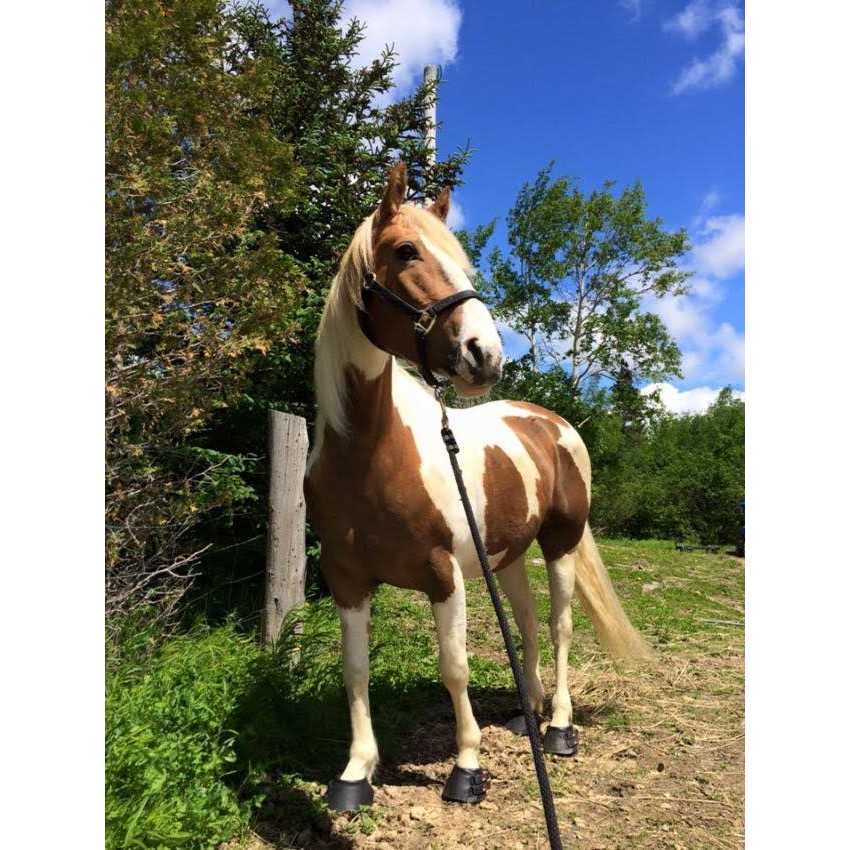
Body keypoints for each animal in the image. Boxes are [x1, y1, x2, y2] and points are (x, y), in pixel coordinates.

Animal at [304, 162, 652, 812]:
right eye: (406, 250)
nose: (483, 354)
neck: (372, 454)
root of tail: (554, 424)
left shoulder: (443, 575)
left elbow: (455, 667)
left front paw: (467, 767)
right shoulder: (346, 578)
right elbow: (355, 670)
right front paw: (356, 771)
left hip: (560, 546)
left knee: (560, 626)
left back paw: (559, 727)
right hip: (507, 557)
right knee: (528, 624)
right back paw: (527, 714)